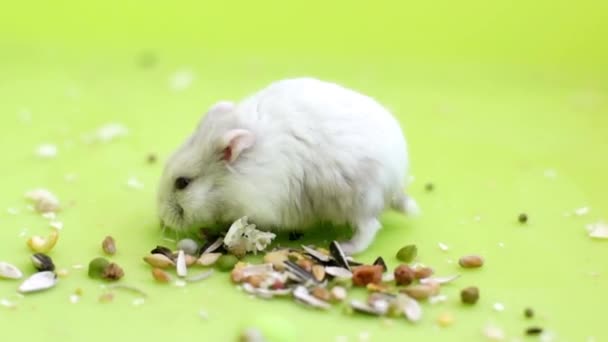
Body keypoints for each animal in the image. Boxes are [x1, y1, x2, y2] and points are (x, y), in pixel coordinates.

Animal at [158, 77, 418, 254]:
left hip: (357, 200)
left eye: (182, 183)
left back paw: (346, 247)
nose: (161, 219)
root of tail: (396, 185)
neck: (229, 181)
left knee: (369, 228)